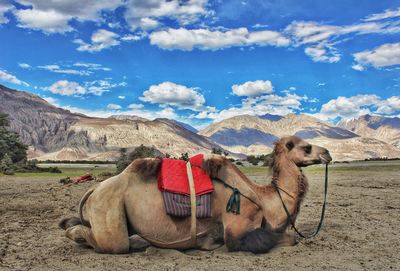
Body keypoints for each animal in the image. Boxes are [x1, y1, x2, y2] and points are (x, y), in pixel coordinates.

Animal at [59, 137, 332, 256]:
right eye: (307, 147)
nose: (328, 153)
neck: (264, 199)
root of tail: (94, 189)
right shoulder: (236, 232)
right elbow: (285, 240)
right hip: (109, 207)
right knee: (107, 242)